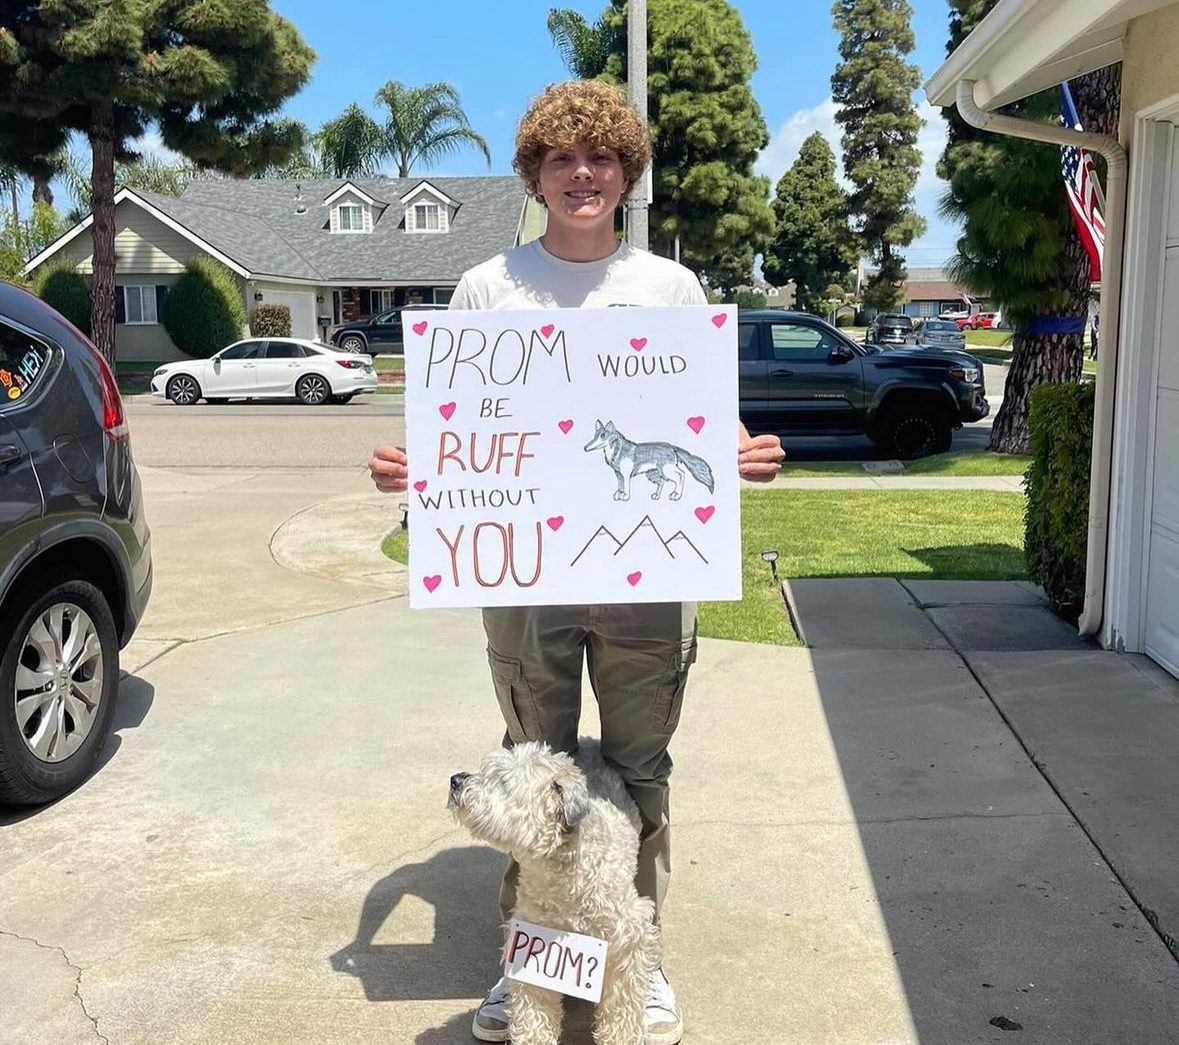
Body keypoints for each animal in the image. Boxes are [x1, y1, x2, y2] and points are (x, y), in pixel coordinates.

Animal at [448, 740, 660, 1045]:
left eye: (501, 781)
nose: (455, 780)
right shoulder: (531, 942)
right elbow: (533, 1013)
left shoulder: (625, 943)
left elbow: (622, 1007)